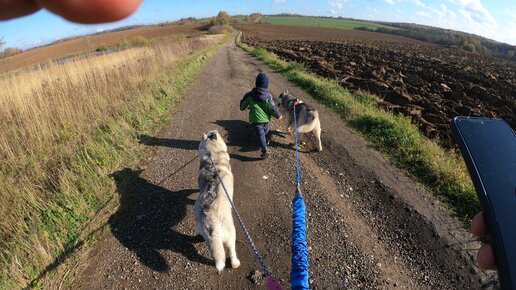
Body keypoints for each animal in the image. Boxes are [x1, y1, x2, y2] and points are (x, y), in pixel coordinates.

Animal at [195, 130, 241, 274]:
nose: (216, 131)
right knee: (231, 251)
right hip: (231, 233)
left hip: (207, 235)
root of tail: (212, 221)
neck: (212, 156)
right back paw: (236, 263)